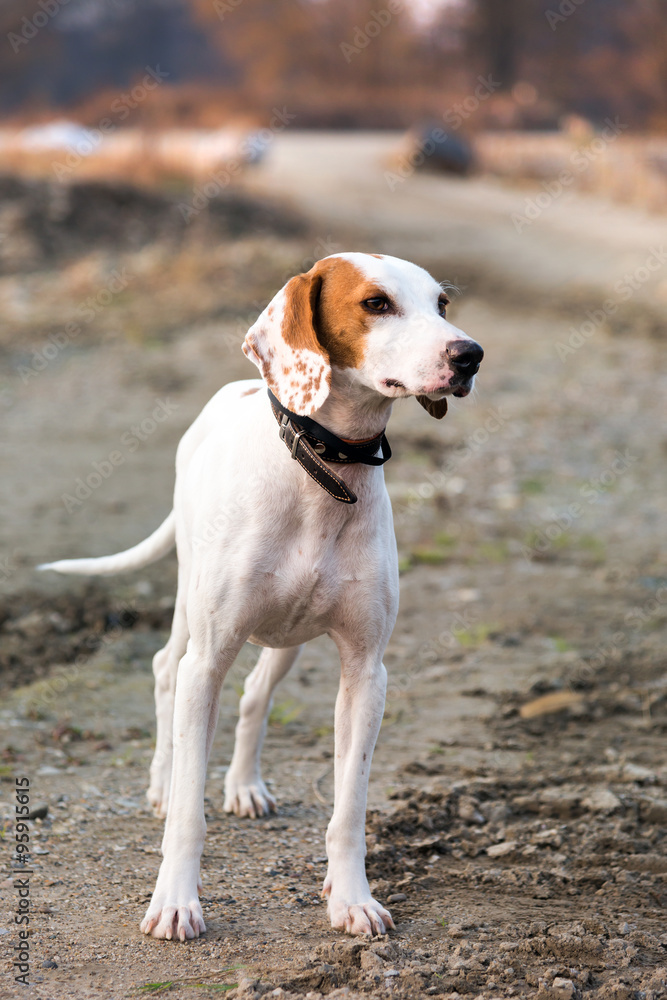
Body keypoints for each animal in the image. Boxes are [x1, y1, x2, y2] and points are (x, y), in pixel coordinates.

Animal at [39, 250, 482, 936]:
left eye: (442, 304)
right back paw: (162, 780)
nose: (470, 355)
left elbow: (349, 809)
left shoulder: (366, 674)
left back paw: (244, 785)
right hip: (191, 615)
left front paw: (351, 898)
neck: (323, 471)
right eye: (376, 303)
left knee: (255, 695)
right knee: (164, 671)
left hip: (286, 640)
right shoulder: (207, 662)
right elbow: (187, 815)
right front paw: (175, 902)